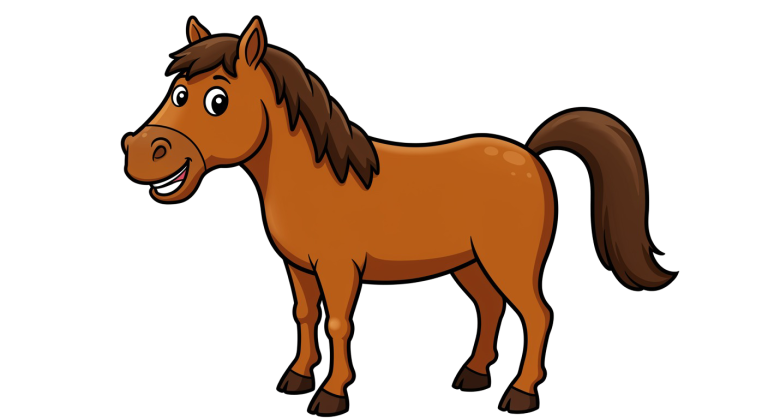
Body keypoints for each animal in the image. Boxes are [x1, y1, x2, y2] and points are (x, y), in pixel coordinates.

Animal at [121, 15, 675, 416]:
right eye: (178, 92)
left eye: (217, 99)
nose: (143, 152)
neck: (316, 178)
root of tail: (530, 155)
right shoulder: (298, 268)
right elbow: (305, 315)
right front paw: (298, 376)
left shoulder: (339, 269)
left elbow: (338, 322)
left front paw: (332, 394)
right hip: (471, 265)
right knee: (490, 307)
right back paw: (474, 375)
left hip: (509, 263)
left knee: (536, 315)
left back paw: (520, 394)